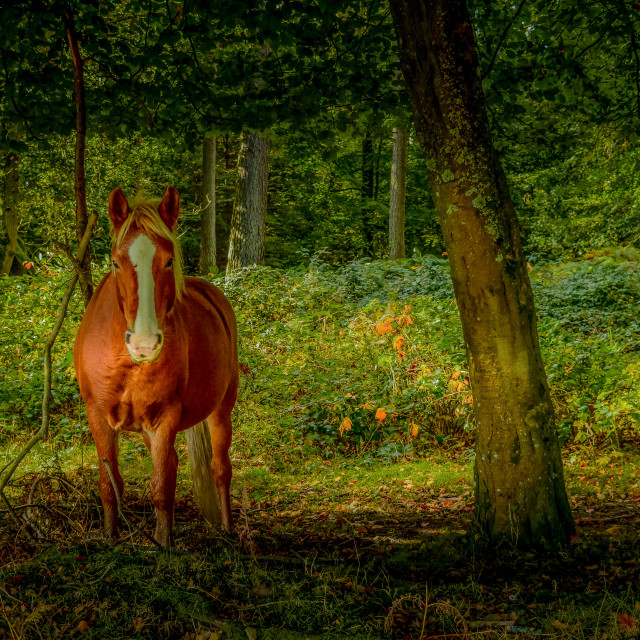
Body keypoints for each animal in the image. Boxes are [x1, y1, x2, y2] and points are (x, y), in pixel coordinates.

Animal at [73, 188, 238, 548]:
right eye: (115, 262)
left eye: (169, 260)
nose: (145, 343)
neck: (126, 363)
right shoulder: (98, 416)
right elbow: (110, 484)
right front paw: (111, 538)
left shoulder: (165, 417)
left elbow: (162, 486)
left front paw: (163, 544)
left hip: (222, 409)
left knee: (220, 468)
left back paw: (227, 528)